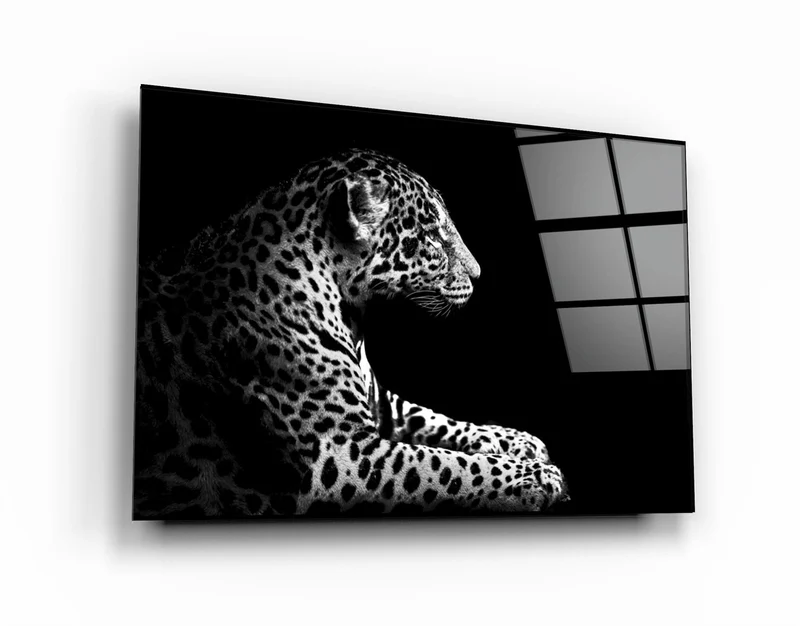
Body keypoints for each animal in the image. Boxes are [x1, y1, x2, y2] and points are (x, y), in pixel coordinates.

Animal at [133, 148, 568, 518]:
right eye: (431, 236)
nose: (478, 275)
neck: (350, 314)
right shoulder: (340, 455)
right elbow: (446, 466)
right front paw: (538, 478)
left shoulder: (381, 404)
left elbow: (439, 421)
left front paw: (519, 441)